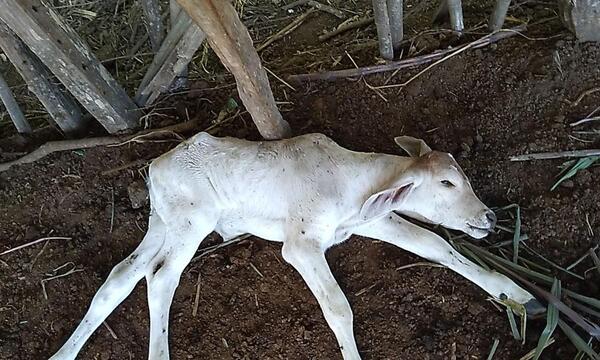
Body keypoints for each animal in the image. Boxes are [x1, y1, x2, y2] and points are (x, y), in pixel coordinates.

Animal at [49, 132, 540, 360]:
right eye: (446, 183)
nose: (489, 217)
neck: (346, 177)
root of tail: (157, 163)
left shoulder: (371, 218)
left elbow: (433, 243)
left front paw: (518, 295)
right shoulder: (300, 244)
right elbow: (338, 308)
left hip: (162, 221)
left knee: (121, 276)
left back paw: (64, 353)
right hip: (192, 221)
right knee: (162, 276)